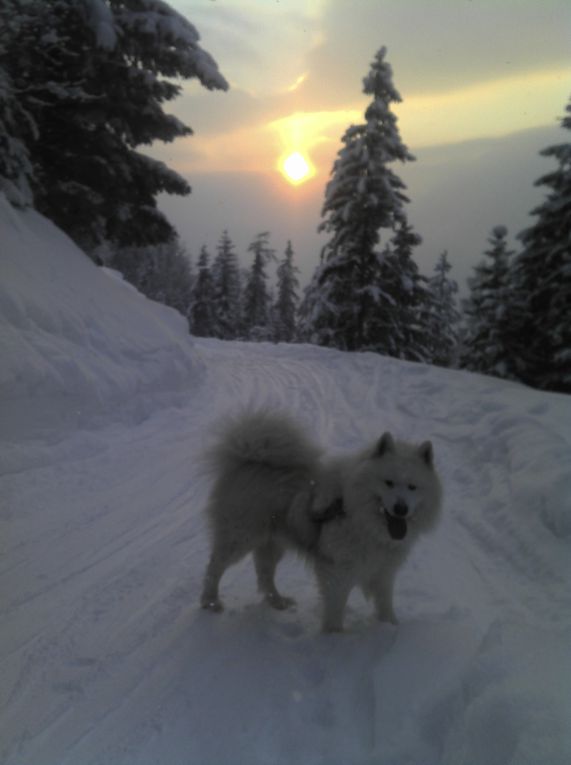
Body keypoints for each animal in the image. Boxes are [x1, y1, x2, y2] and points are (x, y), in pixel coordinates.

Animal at [201, 408, 442, 628]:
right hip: (241, 536)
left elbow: (385, 604)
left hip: (273, 542)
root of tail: (248, 457)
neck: (359, 517)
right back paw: (210, 602)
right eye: (389, 482)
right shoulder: (337, 569)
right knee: (215, 566)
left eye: (412, 487)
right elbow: (335, 608)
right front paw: (333, 638)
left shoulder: (383, 571)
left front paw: (391, 627)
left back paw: (277, 602)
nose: (401, 508)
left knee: (264, 573)